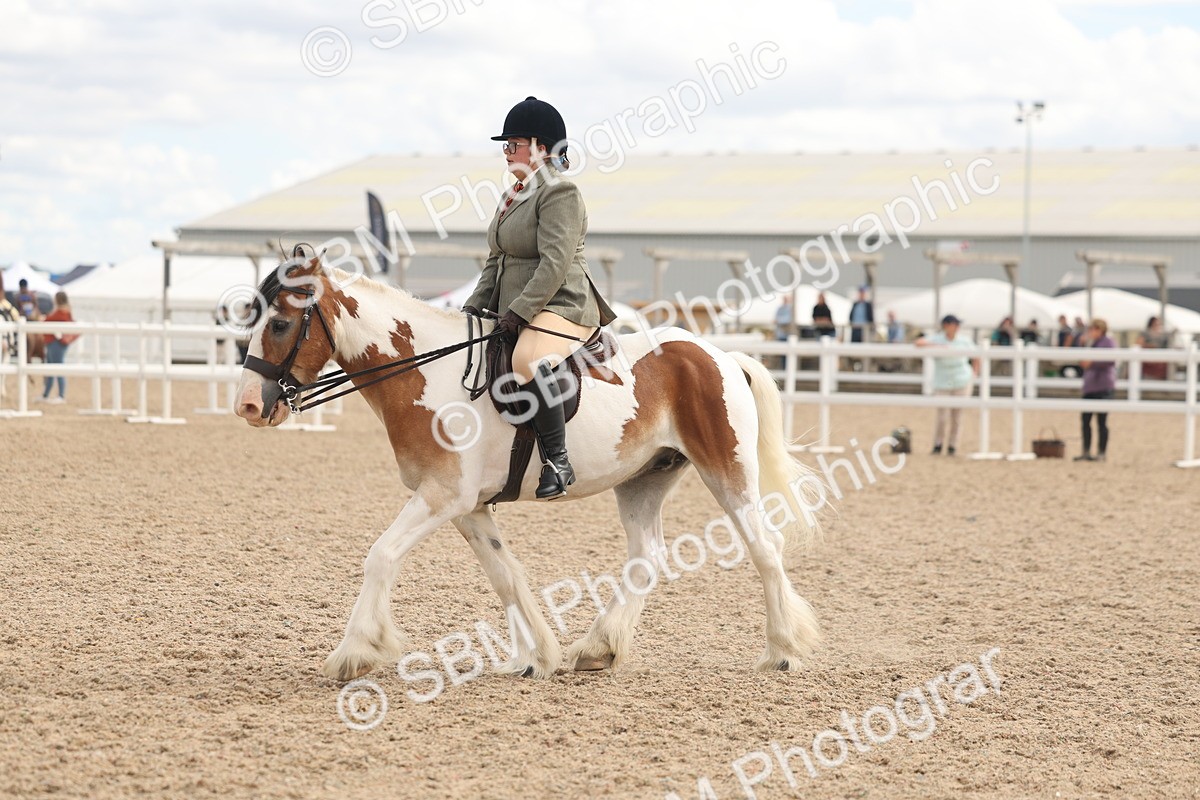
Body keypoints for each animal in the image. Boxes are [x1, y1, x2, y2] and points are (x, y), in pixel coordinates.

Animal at [234, 256, 824, 682]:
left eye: (281, 323)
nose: (247, 406)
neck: (427, 373)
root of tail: (721, 355)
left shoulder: (442, 495)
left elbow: (380, 555)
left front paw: (354, 653)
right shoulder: (465, 506)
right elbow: (506, 575)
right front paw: (534, 656)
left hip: (727, 470)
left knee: (764, 548)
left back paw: (782, 652)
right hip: (644, 479)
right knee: (647, 558)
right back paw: (598, 648)